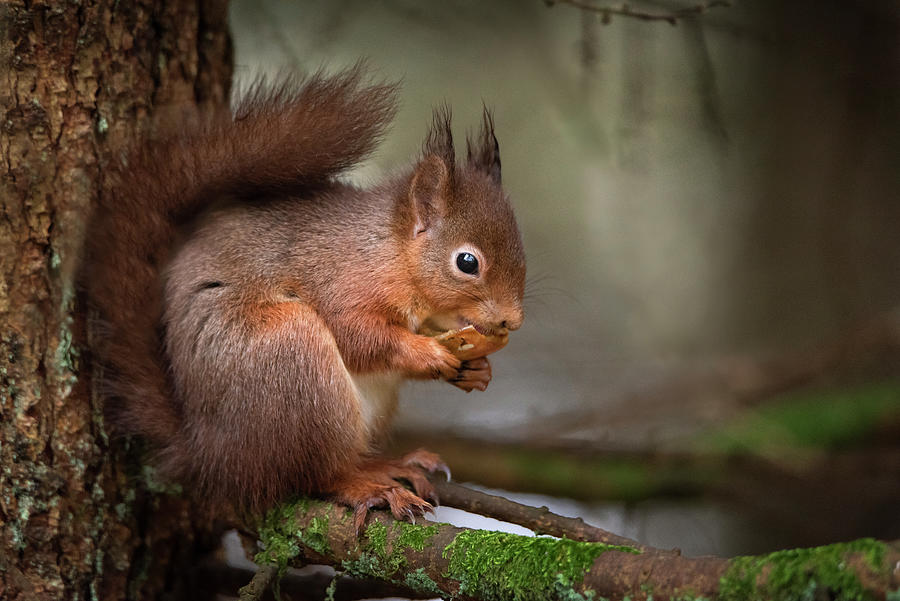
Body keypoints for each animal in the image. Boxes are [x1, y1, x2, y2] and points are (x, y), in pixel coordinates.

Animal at [88, 65, 524, 524]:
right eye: (467, 262)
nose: (512, 320)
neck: (388, 250)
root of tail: (214, 458)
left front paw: (477, 371)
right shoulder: (340, 280)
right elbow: (358, 336)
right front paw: (429, 354)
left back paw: (390, 464)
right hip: (291, 358)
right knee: (315, 474)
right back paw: (370, 486)